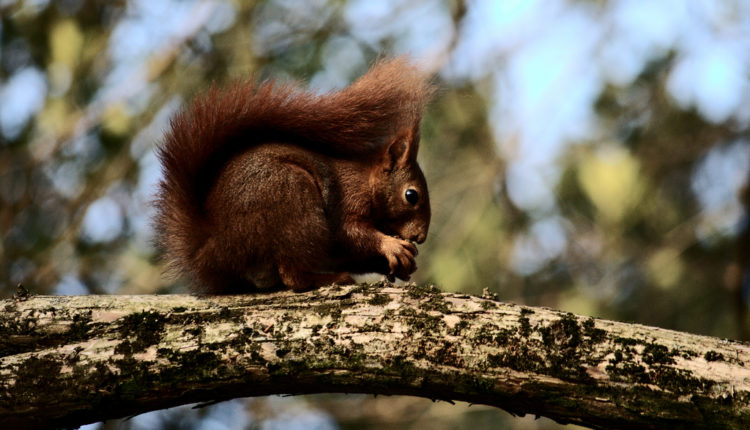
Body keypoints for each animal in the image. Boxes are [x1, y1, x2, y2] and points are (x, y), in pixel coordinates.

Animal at [156, 58, 434, 292]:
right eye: (411, 195)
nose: (420, 238)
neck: (367, 182)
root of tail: (212, 249)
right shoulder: (348, 201)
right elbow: (350, 234)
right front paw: (391, 245)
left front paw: (403, 264)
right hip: (294, 204)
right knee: (294, 276)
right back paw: (331, 279)